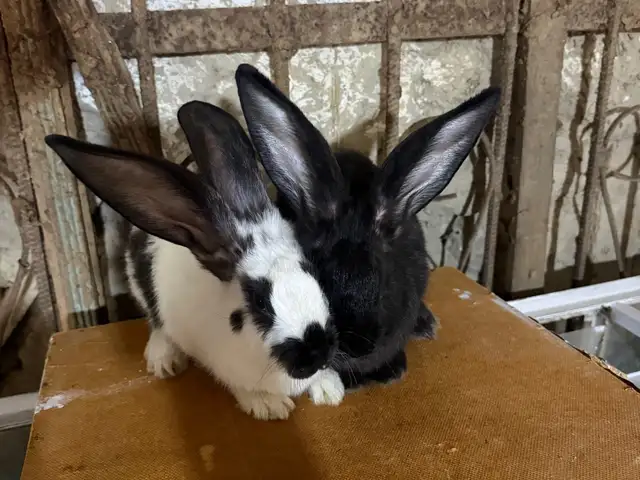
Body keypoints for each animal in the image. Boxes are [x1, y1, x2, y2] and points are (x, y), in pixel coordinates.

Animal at [44, 100, 346, 420]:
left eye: (315, 276)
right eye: (260, 302)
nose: (318, 353)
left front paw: (329, 389)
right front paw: (268, 406)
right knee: (155, 321)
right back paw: (163, 360)